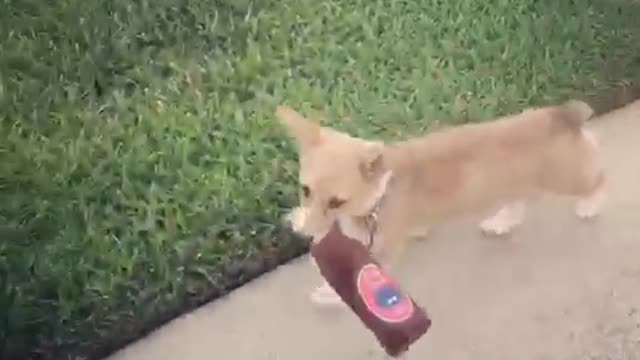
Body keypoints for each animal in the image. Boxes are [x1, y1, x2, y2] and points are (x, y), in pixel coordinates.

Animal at [276, 100, 604, 306]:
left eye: (336, 202)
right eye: (305, 190)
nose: (300, 233)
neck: (381, 189)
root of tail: (561, 115)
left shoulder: (384, 246)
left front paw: (327, 293)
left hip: (565, 177)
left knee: (597, 179)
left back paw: (590, 205)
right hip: (515, 183)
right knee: (517, 205)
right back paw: (499, 223)